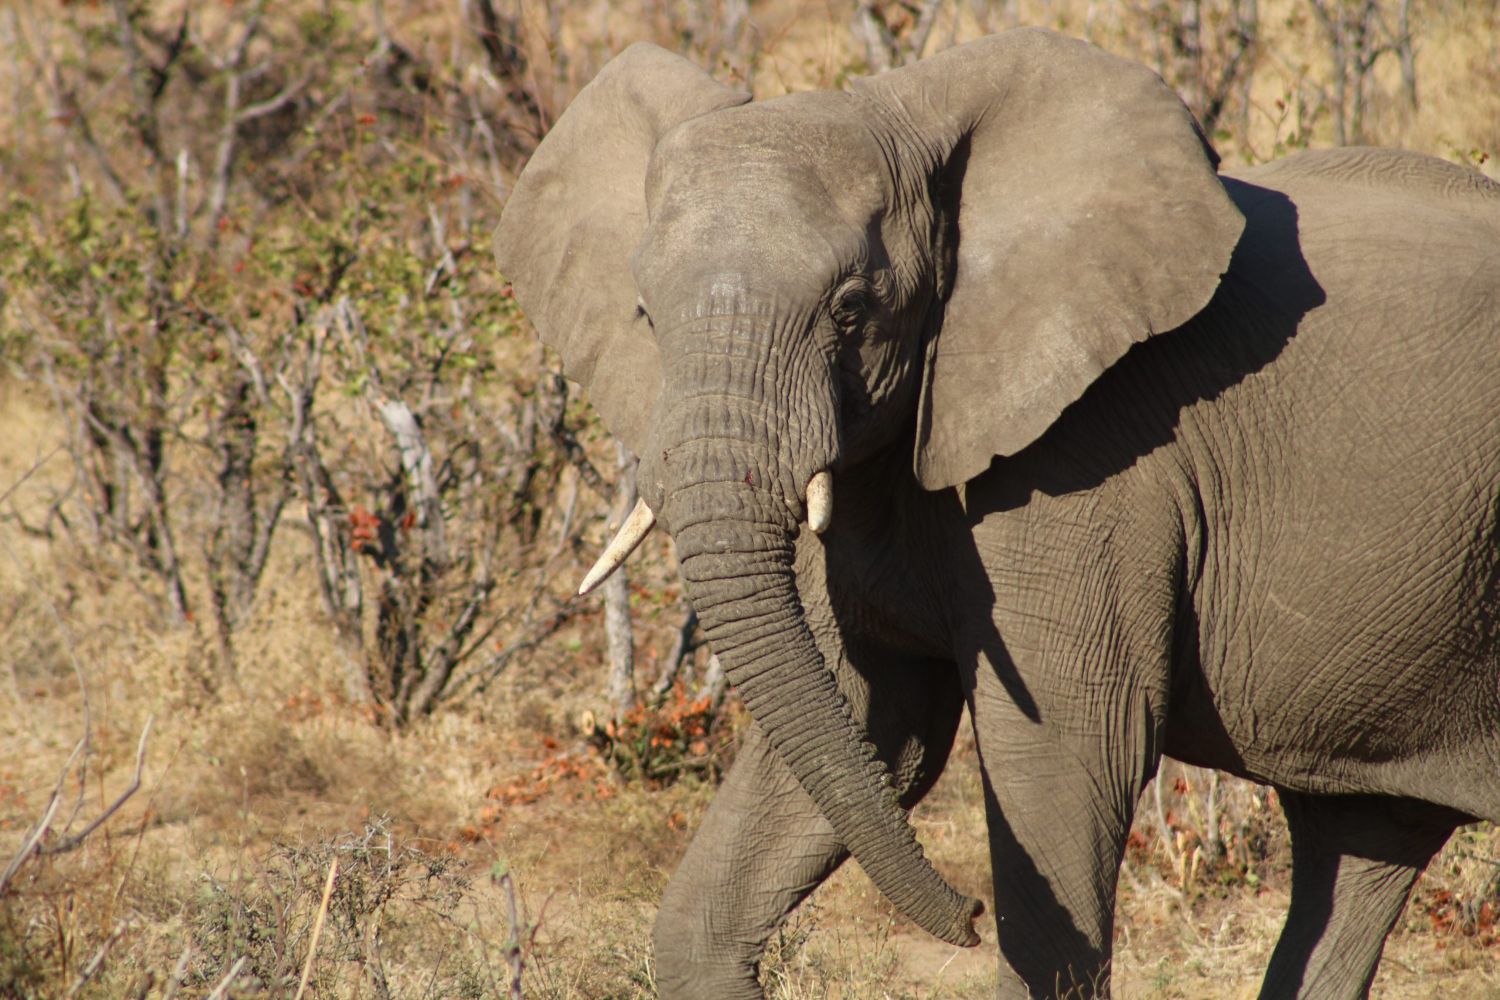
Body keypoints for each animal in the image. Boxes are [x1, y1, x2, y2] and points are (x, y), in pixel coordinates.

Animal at [493, 27, 1500, 1000]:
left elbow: (1064, 760)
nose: (969, 914)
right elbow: (863, 725)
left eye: (851, 309)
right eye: (643, 312)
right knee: (1361, 842)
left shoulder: (1098, 461)